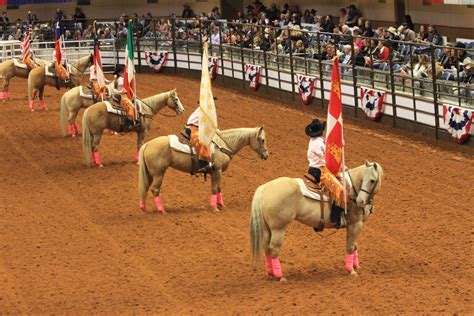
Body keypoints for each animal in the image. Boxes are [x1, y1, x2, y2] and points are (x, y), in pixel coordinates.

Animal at [139, 126, 268, 212]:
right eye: (262, 140)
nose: (266, 155)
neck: (222, 145)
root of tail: (147, 144)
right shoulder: (217, 171)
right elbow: (215, 188)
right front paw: (215, 208)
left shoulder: (214, 172)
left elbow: (218, 188)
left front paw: (220, 205)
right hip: (159, 173)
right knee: (155, 189)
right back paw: (162, 210)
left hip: (150, 173)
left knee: (145, 187)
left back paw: (143, 207)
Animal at [250, 162, 384, 280]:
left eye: (372, 180)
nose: (361, 201)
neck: (352, 190)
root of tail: (264, 188)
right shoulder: (355, 224)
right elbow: (351, 246)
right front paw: (351, 271)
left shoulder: (356, 225)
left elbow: (355, 246)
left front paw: (356, 266)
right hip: (279, 228)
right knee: (274, 248)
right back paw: (280, 276)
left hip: (267, 228)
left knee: (266, 247)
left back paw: (271, 273)